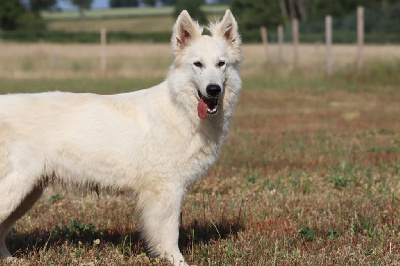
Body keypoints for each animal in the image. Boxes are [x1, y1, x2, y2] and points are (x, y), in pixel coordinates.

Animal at [0, 9, 241, 264]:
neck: (180, 108)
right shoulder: (166, 189)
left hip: (28, 192)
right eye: (198, 64)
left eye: (221, 64)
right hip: (18, 187)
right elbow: (169, 234)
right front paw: (177, 261)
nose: (213, 90)